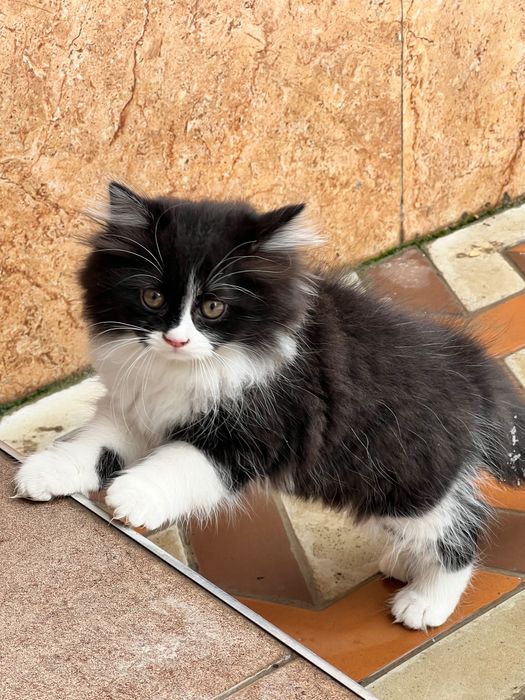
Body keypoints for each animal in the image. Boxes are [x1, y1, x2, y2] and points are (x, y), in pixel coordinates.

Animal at [15, 181, 524, 630]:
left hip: (404, 475)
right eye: (152, 296)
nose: (176, 339)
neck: (185, 371)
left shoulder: (256, 431)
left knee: (460, 529)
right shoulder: (136, 409)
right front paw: (46, 472)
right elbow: (94, 446)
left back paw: (426, 600)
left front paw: (134, 496)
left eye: (214, 307)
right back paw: (405, 564)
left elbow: (180, 464)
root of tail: (475, 367)